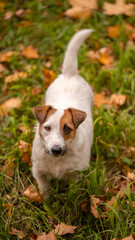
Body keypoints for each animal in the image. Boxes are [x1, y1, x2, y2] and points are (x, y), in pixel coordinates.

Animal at [31, 29, 94, 196]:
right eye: (47, 127)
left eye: (67, 128)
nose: (56, 150)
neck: (57, 160)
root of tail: (69, 74)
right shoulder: (38, 171)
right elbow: (44, 189)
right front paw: (46, 199)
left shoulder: (76, 174)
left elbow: (73, 191)